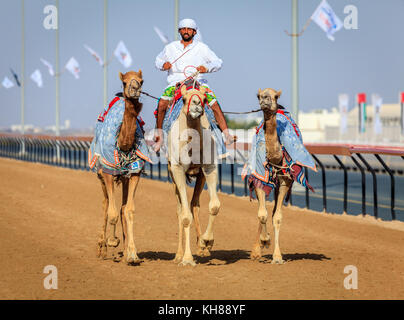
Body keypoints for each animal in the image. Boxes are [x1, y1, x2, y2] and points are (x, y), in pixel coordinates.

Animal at [94, 70, 145, 264]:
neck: (122, 145)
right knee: (106, 204)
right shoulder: (108, 173)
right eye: (124, 82)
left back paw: (123, 249)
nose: (135, 88)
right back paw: (101, 248)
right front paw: (112, 241)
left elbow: (128, 210)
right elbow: (112, 212)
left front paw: (132, 254)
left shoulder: (135, 173)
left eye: (141, 81)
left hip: (123, 178)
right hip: (101, 175)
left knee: (122, 206)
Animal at [167, 84, 221, 266]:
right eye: (184, 99)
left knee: (194, 204)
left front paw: (206, 241)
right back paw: (178, 255)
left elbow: (214, 206)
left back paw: (202, 247)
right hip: (172, 174)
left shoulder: (209, 167)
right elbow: (184, 216)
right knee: (179, 209)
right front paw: (187, 259)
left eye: (204, 99)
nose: (197, 104)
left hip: (200, 176)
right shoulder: (177, 169)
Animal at [249, 88, 294, 264]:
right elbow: (262, 214)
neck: (275, 158)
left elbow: (277, 217)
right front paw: (264, 240)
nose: (265, 99)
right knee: (262, 211)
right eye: (258, 96)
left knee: (274, 212)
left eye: (275, 96)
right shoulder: (259, 180)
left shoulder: (285, 182)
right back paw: (256, 249)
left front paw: (277, 256)